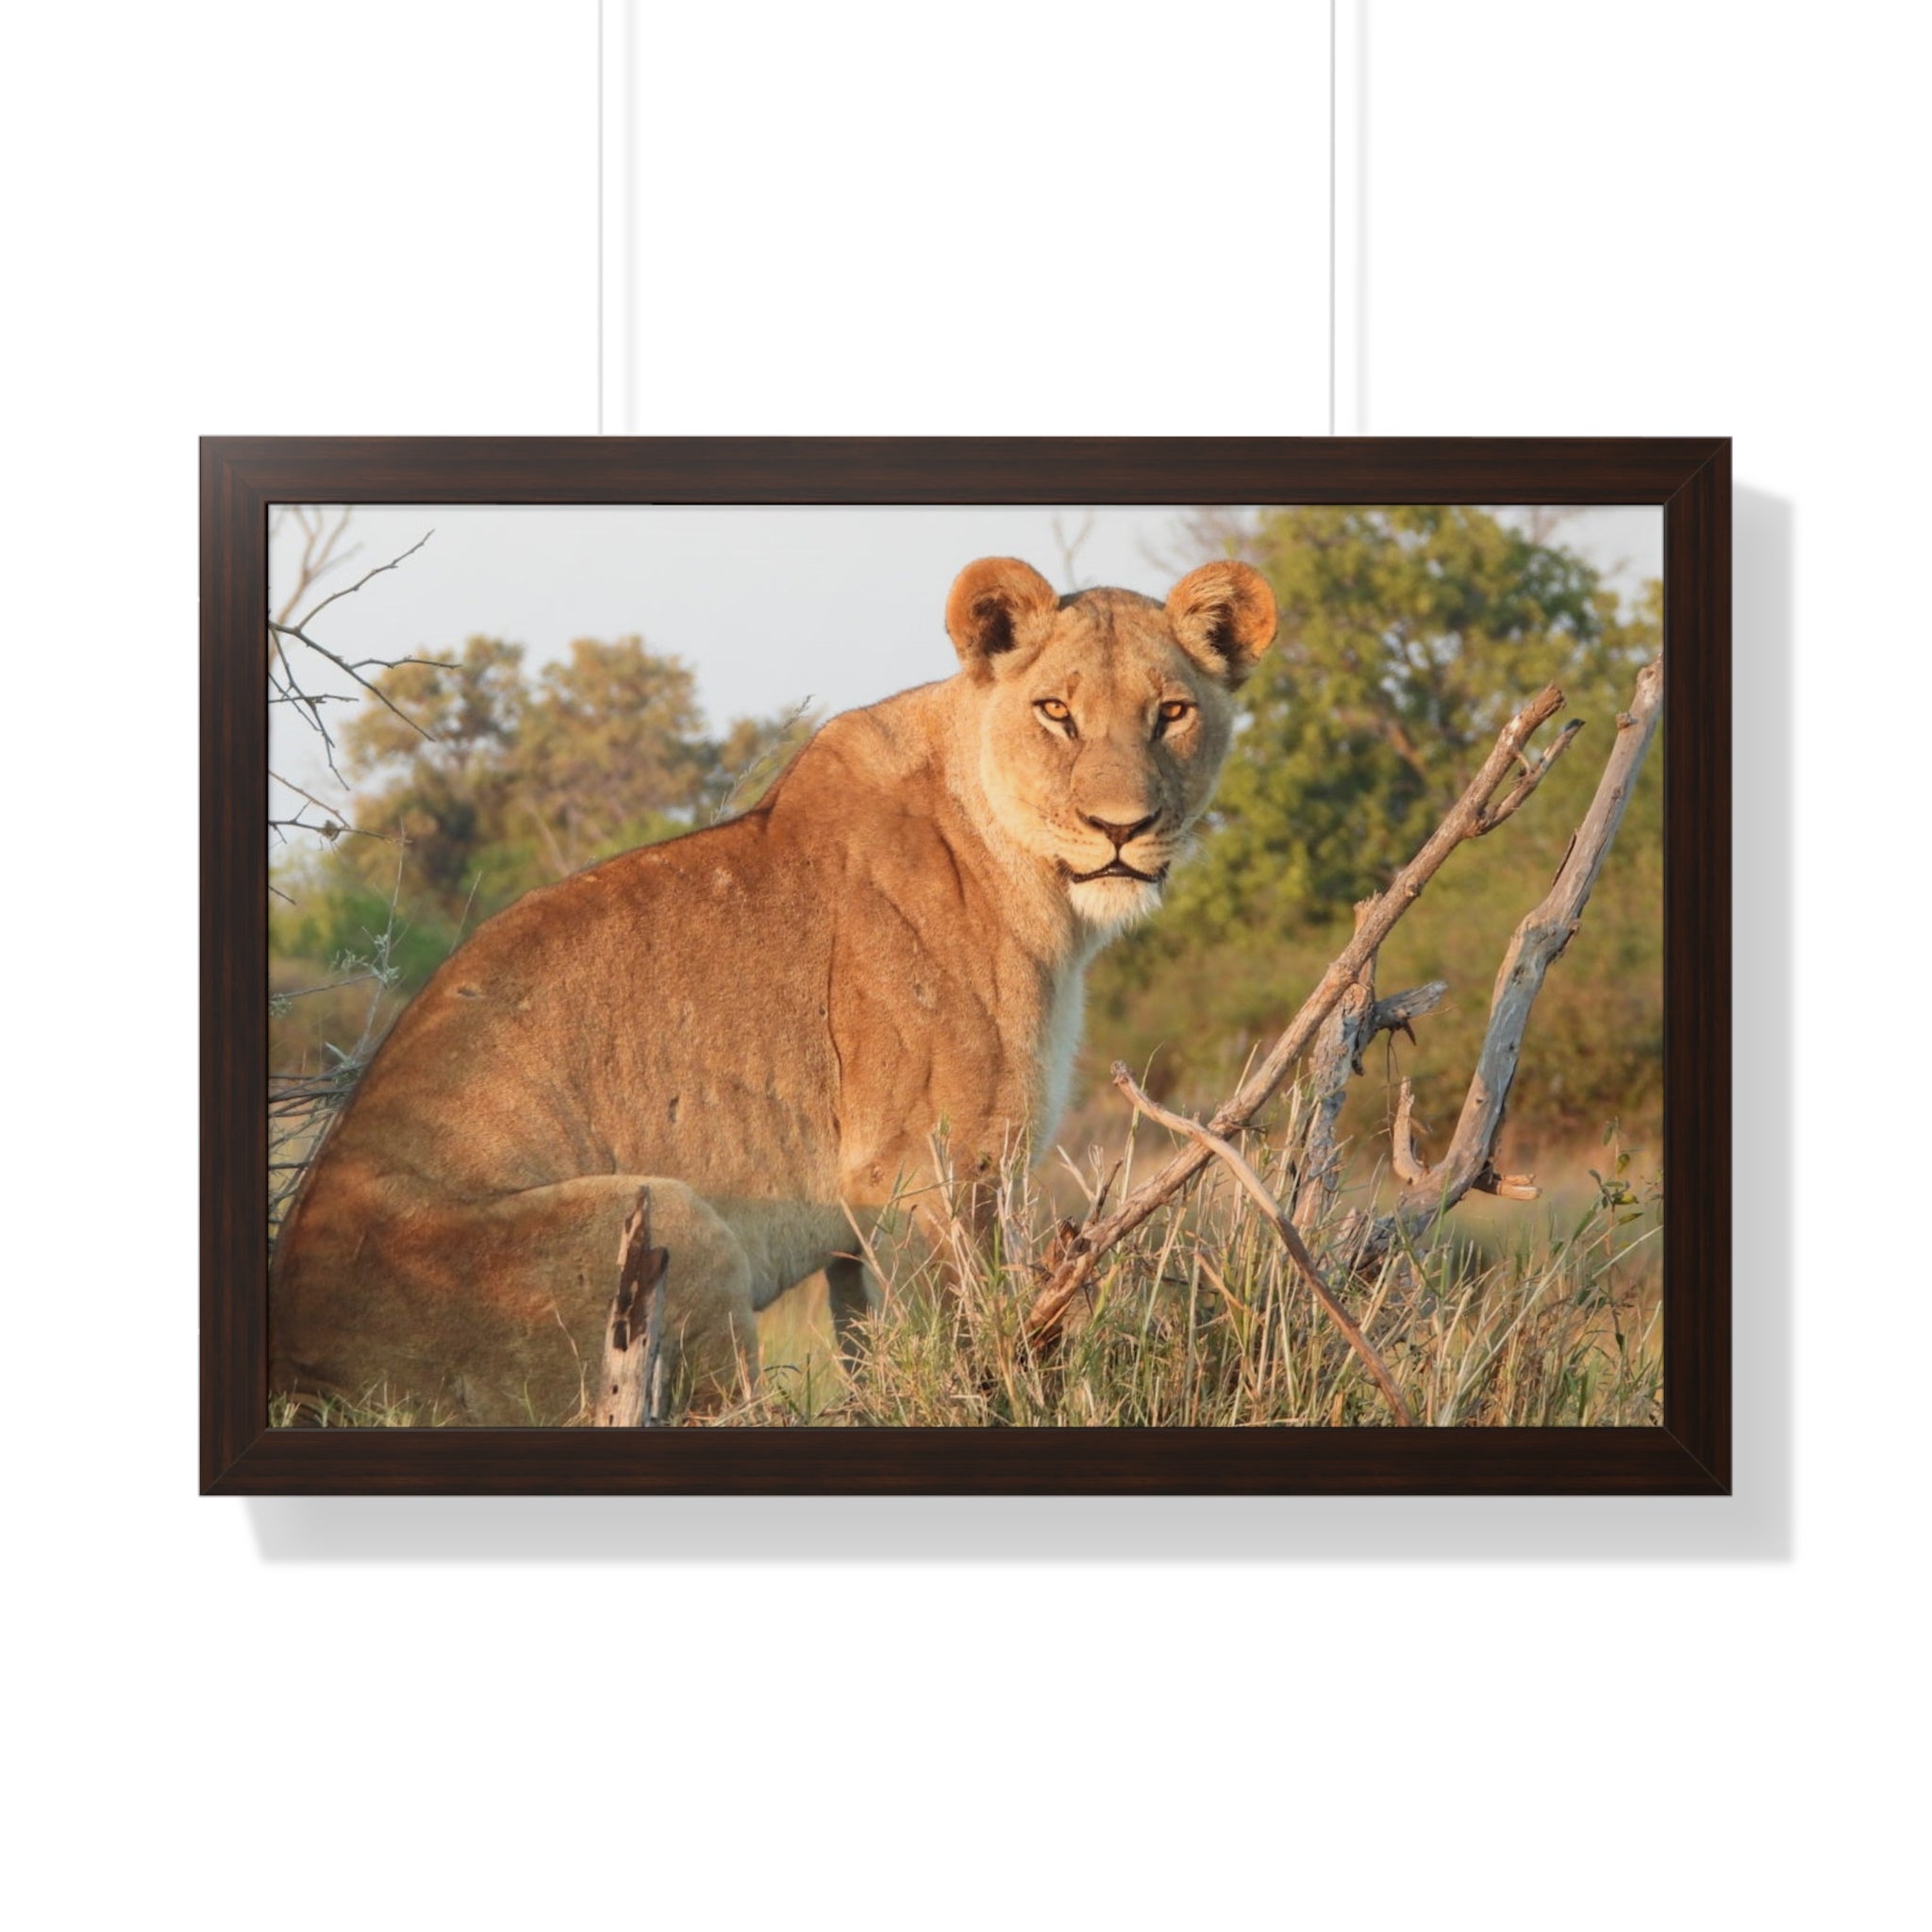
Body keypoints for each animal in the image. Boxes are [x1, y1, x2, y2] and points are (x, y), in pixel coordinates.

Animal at [269, 555, 1277, 1423]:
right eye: (1056, 711)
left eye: (1173, 712)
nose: (1122, 828)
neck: (1039, 888)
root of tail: (300, 1366)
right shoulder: (928, 1173)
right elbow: (962, 1342)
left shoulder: (869, 1218)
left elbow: (877, 1345)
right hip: (673, 1219)